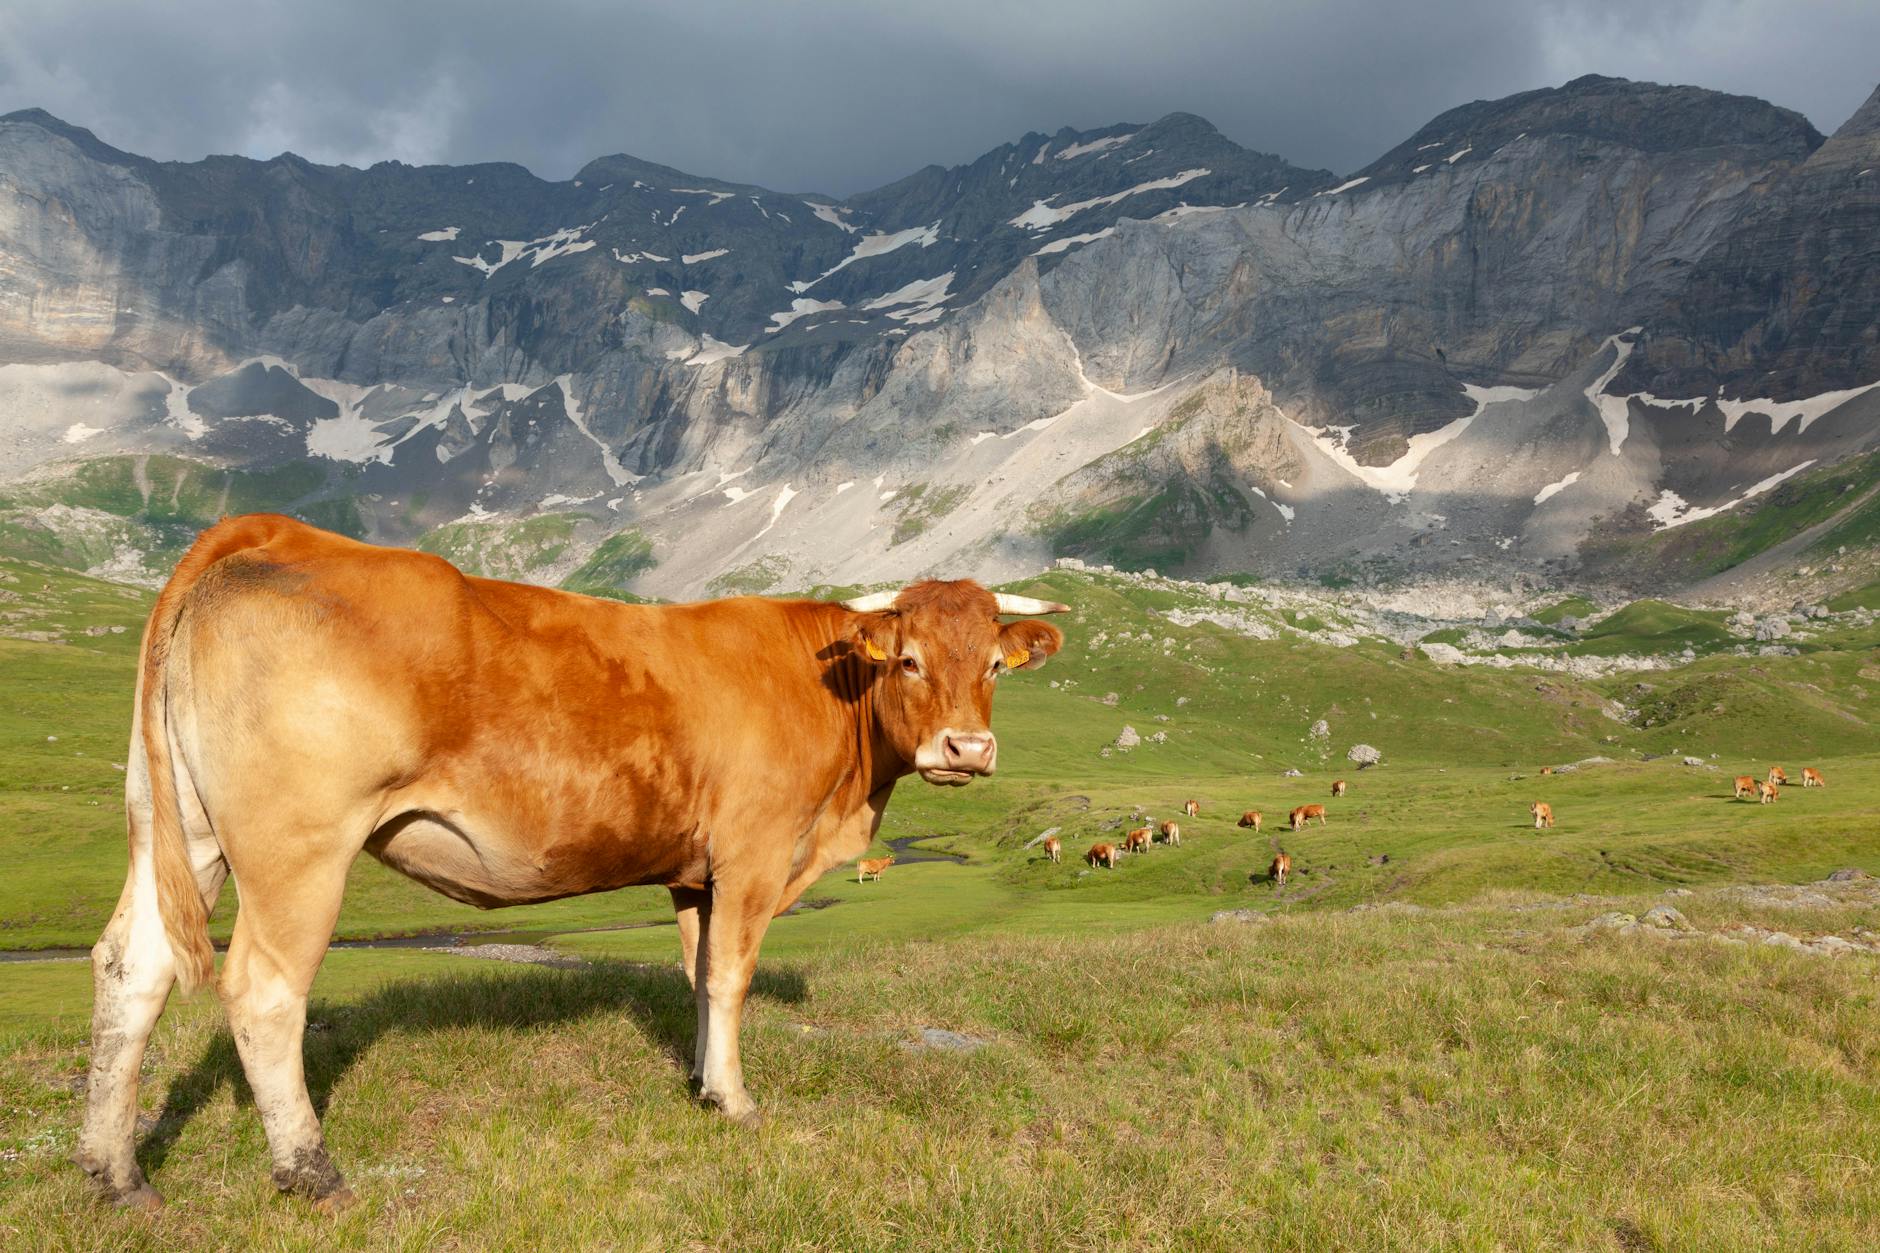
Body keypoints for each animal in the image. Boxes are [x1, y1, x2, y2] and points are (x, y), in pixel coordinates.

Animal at [73, 515, 1067, 1213]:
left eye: (993, 663)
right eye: (908, 660)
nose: (967, 749)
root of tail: (277, 531)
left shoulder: (693, 872)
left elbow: (699, 974)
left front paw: (703, 1086)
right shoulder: (752, 850)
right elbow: (734, 974)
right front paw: (739, 1101)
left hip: (178, 826)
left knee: (133, 966)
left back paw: (117, 1175)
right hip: (299, 847)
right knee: (264, 989)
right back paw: (312, 1169)